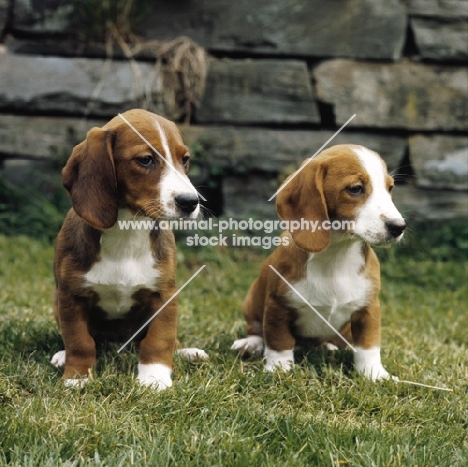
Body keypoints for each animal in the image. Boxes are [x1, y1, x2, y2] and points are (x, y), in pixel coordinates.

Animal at [50, 108, 207, 390]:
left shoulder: (165, 295)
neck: (127, 231)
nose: (191, 202)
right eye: (145, 160)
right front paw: (77, 377)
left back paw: (187, 352)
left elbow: (159, 340)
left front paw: (154, 378)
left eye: (185, 160)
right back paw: (62, 355)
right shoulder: (70, 296)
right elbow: (79, 340)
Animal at [231, 145, 406, 380]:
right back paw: (250, 344)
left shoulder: (368, 308)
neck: (336, 255)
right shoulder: (278, 305)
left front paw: (374, 374)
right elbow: (279, 341)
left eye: (390, 188)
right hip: (251, 301)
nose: (399, 226)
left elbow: (368, 346)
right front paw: (279, 369)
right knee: (257, 330)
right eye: (356, 189)